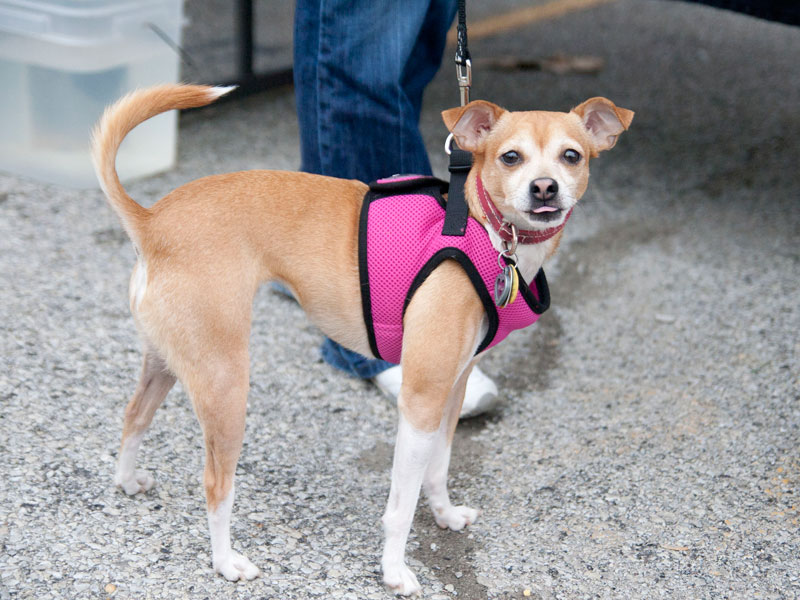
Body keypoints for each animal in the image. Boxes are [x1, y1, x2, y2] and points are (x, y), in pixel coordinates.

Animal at [92, 84, 632, 596]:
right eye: (511, 157)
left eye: (571, 156)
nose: (545, 189)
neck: (485, 232)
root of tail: (151, 221)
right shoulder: (420, 400)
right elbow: (401, 504)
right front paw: (394, 571)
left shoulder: (450, 392)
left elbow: (438, 468)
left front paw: (444, 515)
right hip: (225, 385)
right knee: (215, 485)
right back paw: (227, 562)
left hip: (167, 362)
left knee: (133, 417)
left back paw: (127, 480)